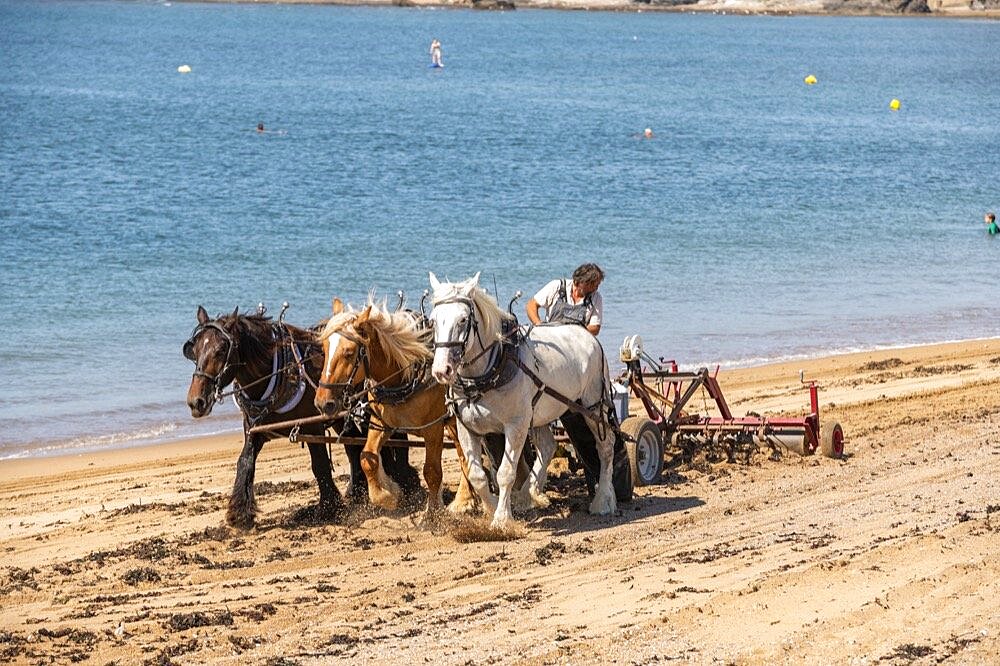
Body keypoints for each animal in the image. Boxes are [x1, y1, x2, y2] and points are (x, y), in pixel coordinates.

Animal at [184, 304, 418, 528]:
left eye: (221, 350)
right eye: (194, 350)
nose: (196, 402)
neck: (278, 373)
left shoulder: (312, 427)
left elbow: (320, 465)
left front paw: (328, 508)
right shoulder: (253, 429)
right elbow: (245, 462)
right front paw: (240, 515)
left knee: (396, 443)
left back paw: (408, 487)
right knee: (355, 449)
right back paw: (358, 494)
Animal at [316, 298, 476, 520]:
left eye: (349, 352)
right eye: (324, 349)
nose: (323, 403)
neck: (406, 376)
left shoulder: (433, 429)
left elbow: (432, 471)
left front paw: (432, 513)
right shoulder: (381, 423)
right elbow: (367, 458)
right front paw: (389, 495)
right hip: (453, 423)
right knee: (463, 455)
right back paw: (464, 500)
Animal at [428, 272, 616, 528]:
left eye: (463, 320)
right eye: (433, 321)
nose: (441, 370)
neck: (490, 370)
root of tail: (587, 334)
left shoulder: (516, 425)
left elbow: (505, 473)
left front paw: (501, 520)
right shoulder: (467, 427)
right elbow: (477, 476)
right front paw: (491, 508)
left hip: (592, 407)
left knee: (605, 447)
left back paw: (603, 500)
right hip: (540, 413)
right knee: (547, 447)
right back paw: (527, 496)